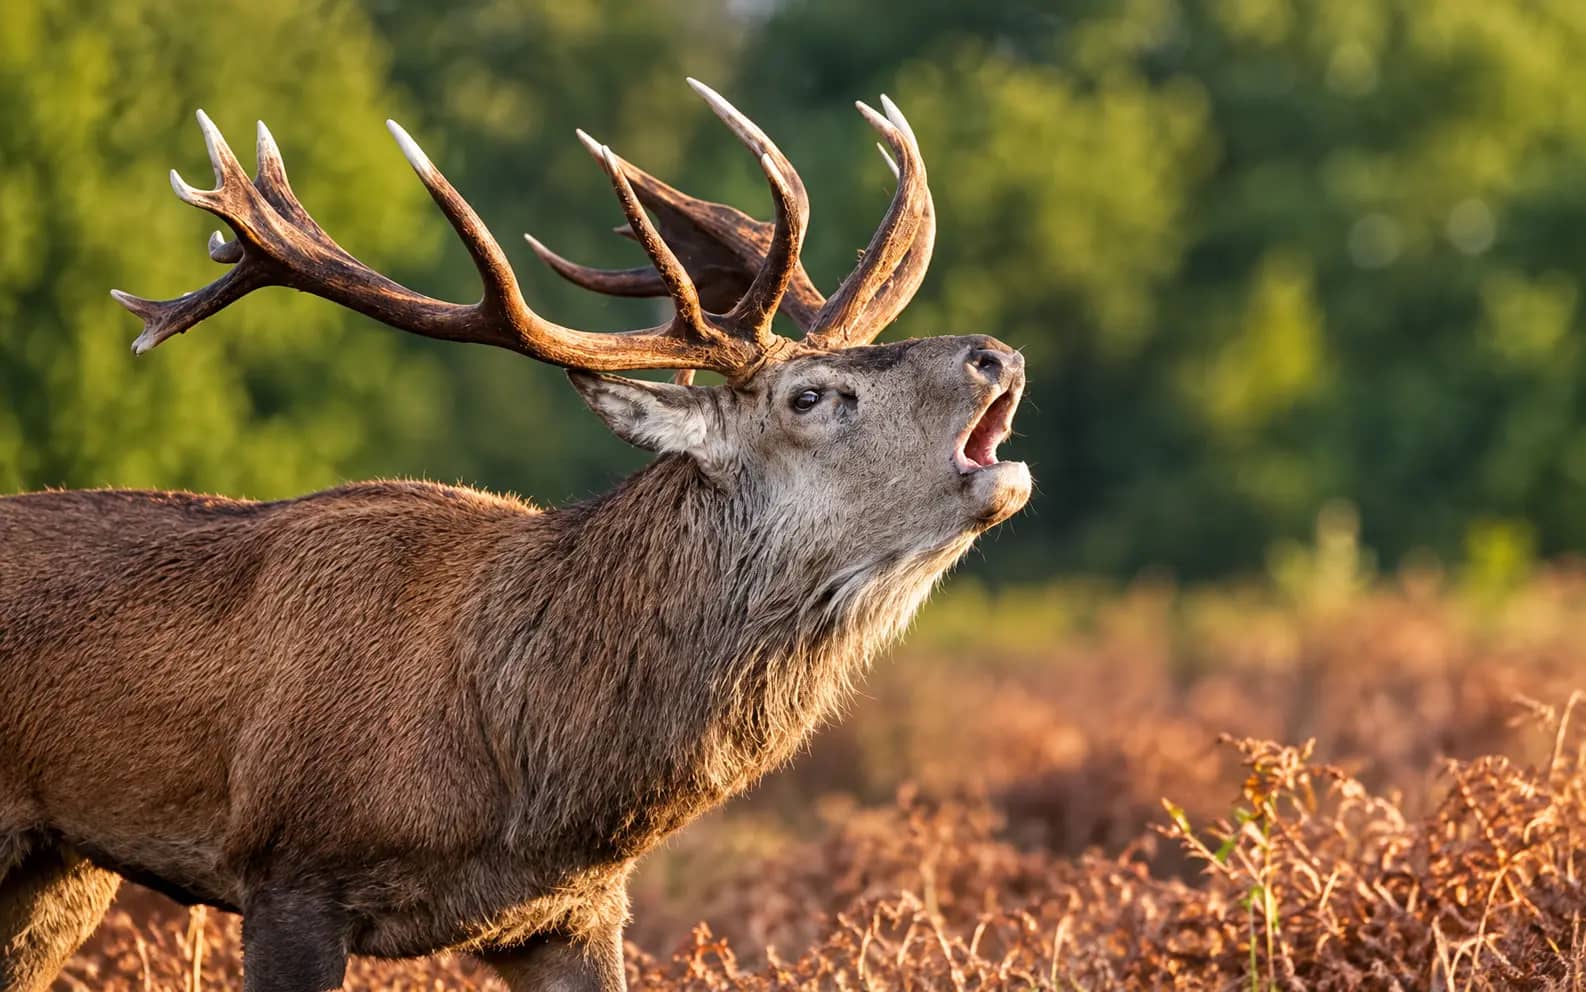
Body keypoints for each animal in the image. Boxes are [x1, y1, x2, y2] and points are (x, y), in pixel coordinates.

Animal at [0, 79, 1029, 991]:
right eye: (811, 396)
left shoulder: (573, 914)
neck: (529, 773)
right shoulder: (289, 868)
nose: (996, 354)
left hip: (60, 872)